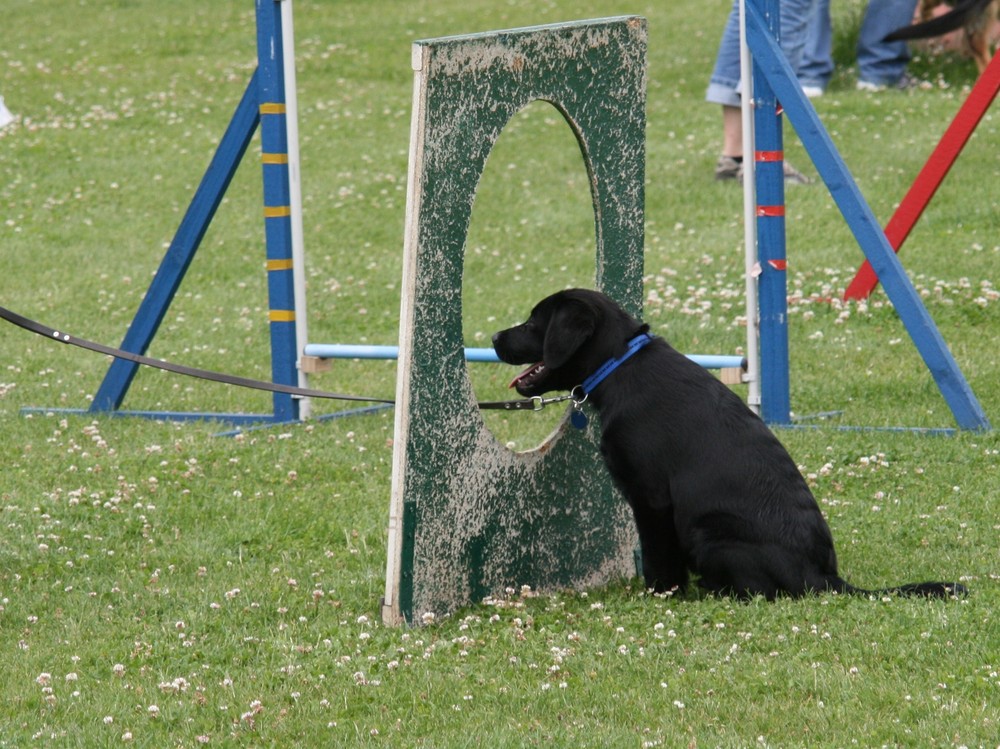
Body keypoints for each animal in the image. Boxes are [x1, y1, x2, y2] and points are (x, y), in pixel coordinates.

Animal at [496, 290, 964, 600]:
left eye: (534, 323)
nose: (497, 338)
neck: (618, 365)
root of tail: (825, 577)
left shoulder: (652, 499)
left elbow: (660, 557)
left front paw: (661, 593)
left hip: (711, 532)